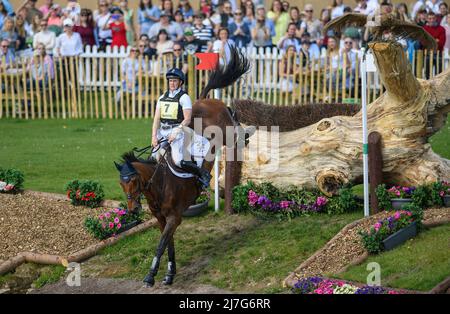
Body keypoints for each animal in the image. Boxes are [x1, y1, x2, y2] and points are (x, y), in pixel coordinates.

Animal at [113, 46, 250, 288]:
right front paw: (169, 273)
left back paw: (245, 133)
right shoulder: (161, 219)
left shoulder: (174, 217)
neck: (158, 185)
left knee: (235, 127)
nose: (132, 210)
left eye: (135, 181)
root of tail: (205, 101)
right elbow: (169, 244)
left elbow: (161, 244)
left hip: (226, 131)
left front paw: (150, 276)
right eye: (122, 183)